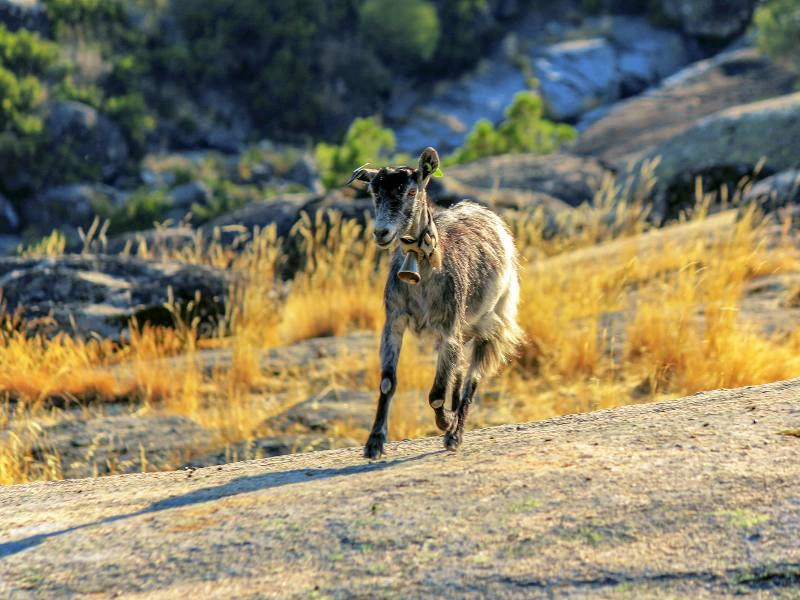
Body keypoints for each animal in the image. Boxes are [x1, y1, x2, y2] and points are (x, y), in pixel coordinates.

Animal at [347, 147, 523, 458]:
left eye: (411, 191)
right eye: (373, 191)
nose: (381, 233)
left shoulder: (448, 327)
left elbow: (436, 394)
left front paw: (446, 422)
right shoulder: (394, 323)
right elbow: (388, 382)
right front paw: (374, 443)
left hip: (494, 320)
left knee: (472, 377)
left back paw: (454, 434)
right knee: (461, 369)